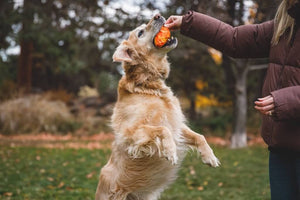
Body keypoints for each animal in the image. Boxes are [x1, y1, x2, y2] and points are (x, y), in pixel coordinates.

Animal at [96, 14, 220, 200]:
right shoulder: (130, 133)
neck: (147, 85)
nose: (158, 15)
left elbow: (200, 136)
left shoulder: (176, 122)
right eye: (140, 32)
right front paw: (170, 151)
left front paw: (209, 157)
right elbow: (162, 129)